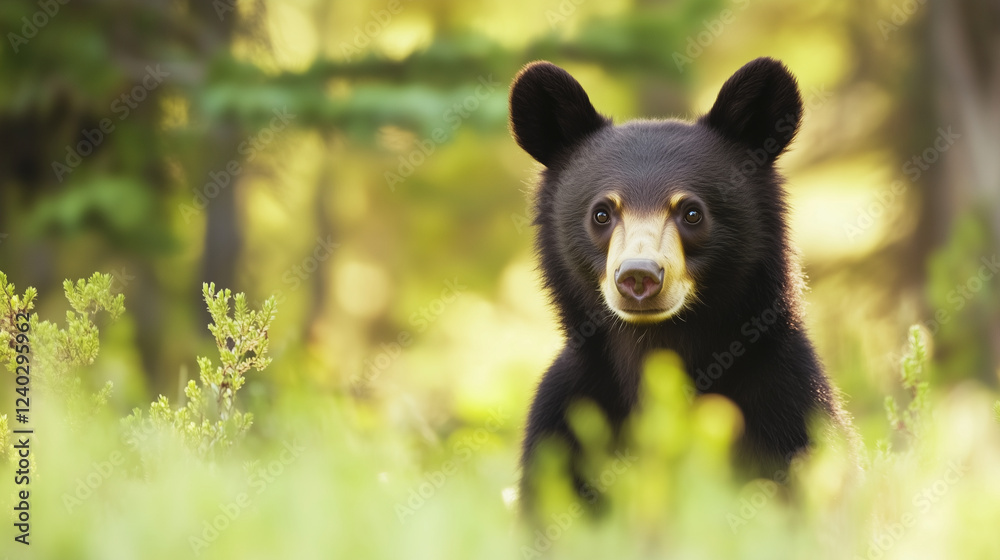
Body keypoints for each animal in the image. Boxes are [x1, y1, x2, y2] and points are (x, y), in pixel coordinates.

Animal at [509, 57, 854, 506]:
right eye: (602, 213)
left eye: (691, 212)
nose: (639, 275)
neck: (657, 346)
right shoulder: (564, 417)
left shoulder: (786, 401)